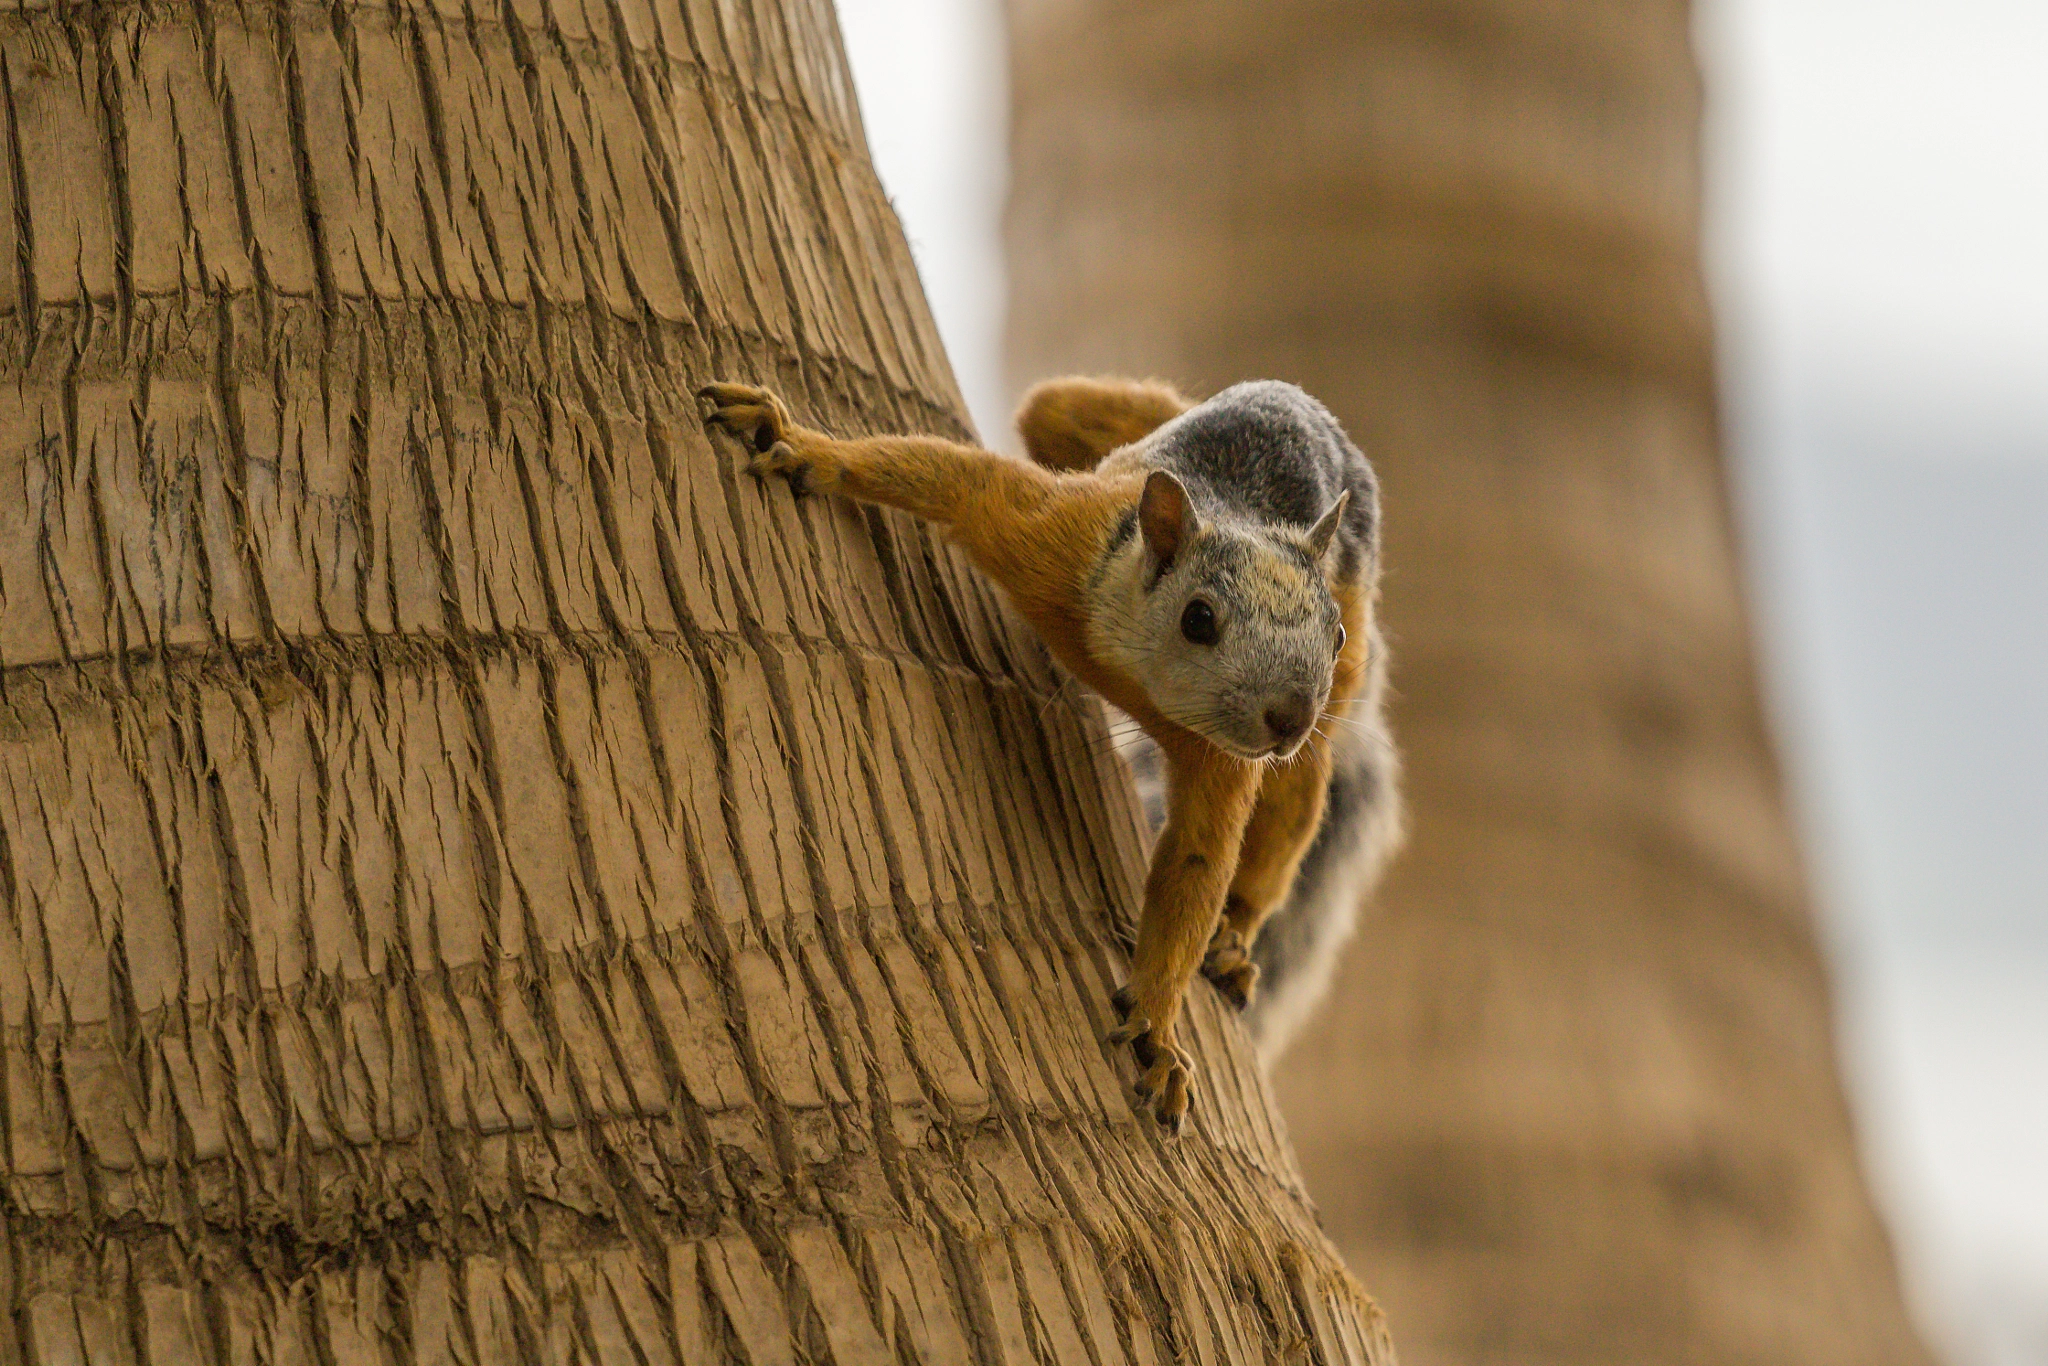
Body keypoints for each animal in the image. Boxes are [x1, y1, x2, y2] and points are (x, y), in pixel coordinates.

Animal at [700, 374, 1392, 1130]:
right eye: (1200, 618)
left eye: (1331, 634)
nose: (1289, 719)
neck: (1136, 680)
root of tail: (1311, 412)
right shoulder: (1061, 538)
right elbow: (952, 476)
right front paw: (808, 447)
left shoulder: (1223, 755)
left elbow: (1198, 863)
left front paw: (1157, 1029)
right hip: (1103, 422)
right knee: (1053, 411)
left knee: (1294, 805)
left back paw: (1235, 940)